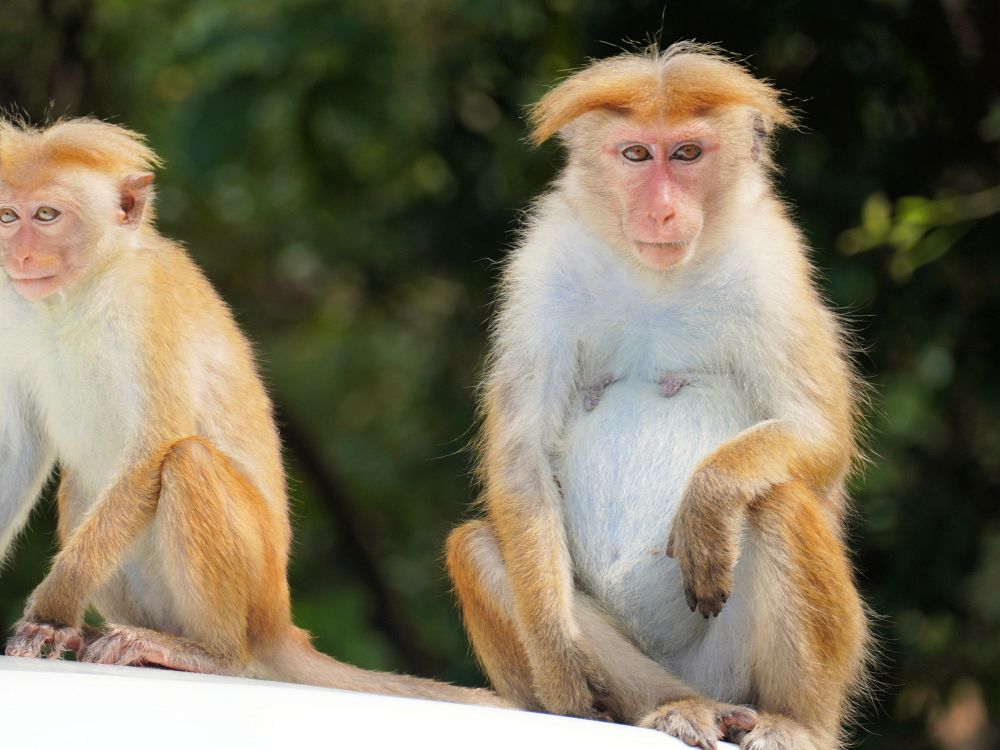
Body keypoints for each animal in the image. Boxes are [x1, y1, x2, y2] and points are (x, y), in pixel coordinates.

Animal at [0, 119, 500, 712]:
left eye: (46, 215)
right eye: (8, 216)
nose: (18, 256)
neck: (77, 294)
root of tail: (279, 622)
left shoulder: (149, 306)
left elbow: (152, 450)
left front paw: (51, 612)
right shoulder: (10, 309)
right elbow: (19, 453)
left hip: (254, 581)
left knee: (186, 462)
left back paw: (211, 654)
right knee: (82, 487)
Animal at [446, 44, 868, 748]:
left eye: (688, 153)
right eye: (637, 154)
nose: (663, 211)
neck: (655, 276)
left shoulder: (772, 265)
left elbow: (819, 433)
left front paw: (709, 498)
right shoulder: (542, 265)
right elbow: (520, 458)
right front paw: (559, 665)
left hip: (740, 664)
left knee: (779, 503)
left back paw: (795, 722)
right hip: (656, 668)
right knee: (477, 545)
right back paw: (671, 708)